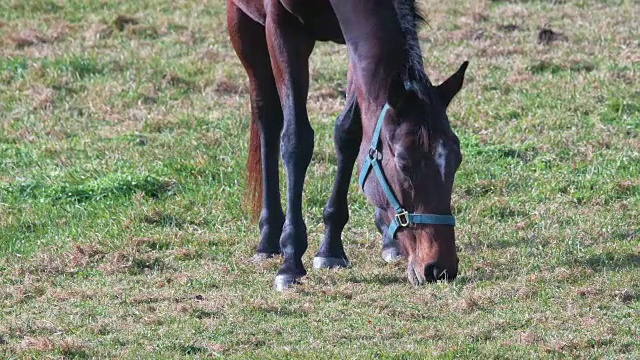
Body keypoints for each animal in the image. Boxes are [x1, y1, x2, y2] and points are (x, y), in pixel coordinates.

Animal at [228, 0, 468, 290]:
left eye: (457, 159)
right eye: (403, 163)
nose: (440, 268)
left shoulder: (356, 45)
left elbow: (350, 133)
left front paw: (330, 247)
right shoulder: (282, 28)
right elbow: (296, 140)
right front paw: (291, 262)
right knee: (268, 117)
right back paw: (268, 238)